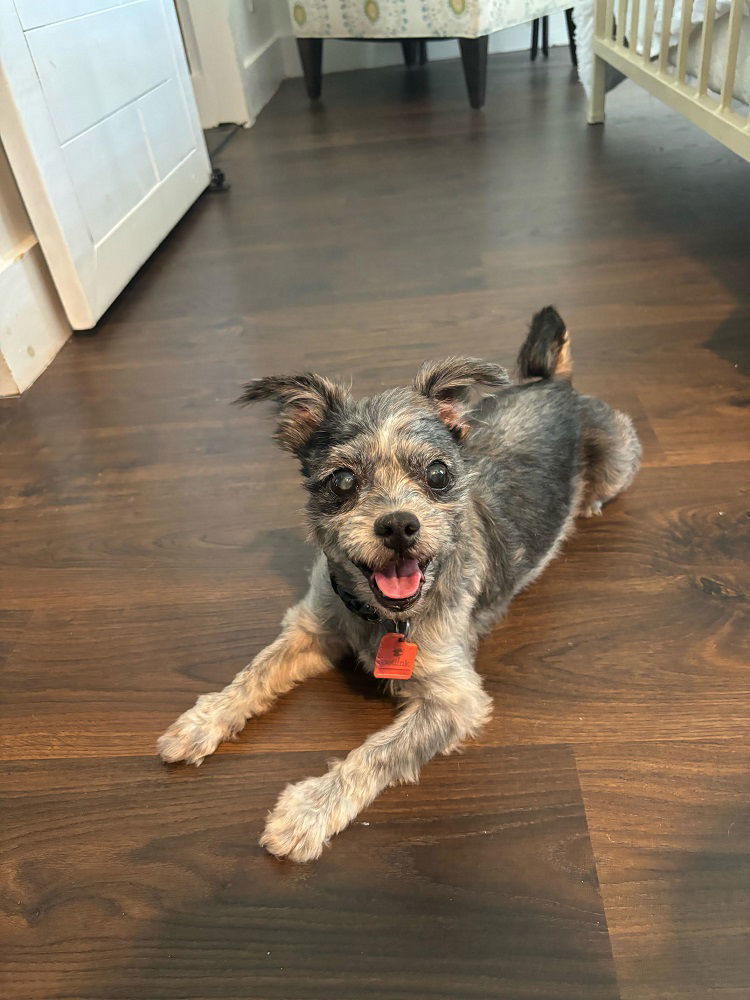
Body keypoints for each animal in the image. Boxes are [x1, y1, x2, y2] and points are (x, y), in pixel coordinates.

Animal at [157, 304, 640, 860]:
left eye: (438, 474)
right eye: (343, 481)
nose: (398, 525)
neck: (382, 618)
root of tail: (552, 384)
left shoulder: (454, 698)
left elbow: (378, 753)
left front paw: (307, 812)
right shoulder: (312, 626)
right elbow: (254, 672)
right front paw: (202, 722)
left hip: (619, 456)